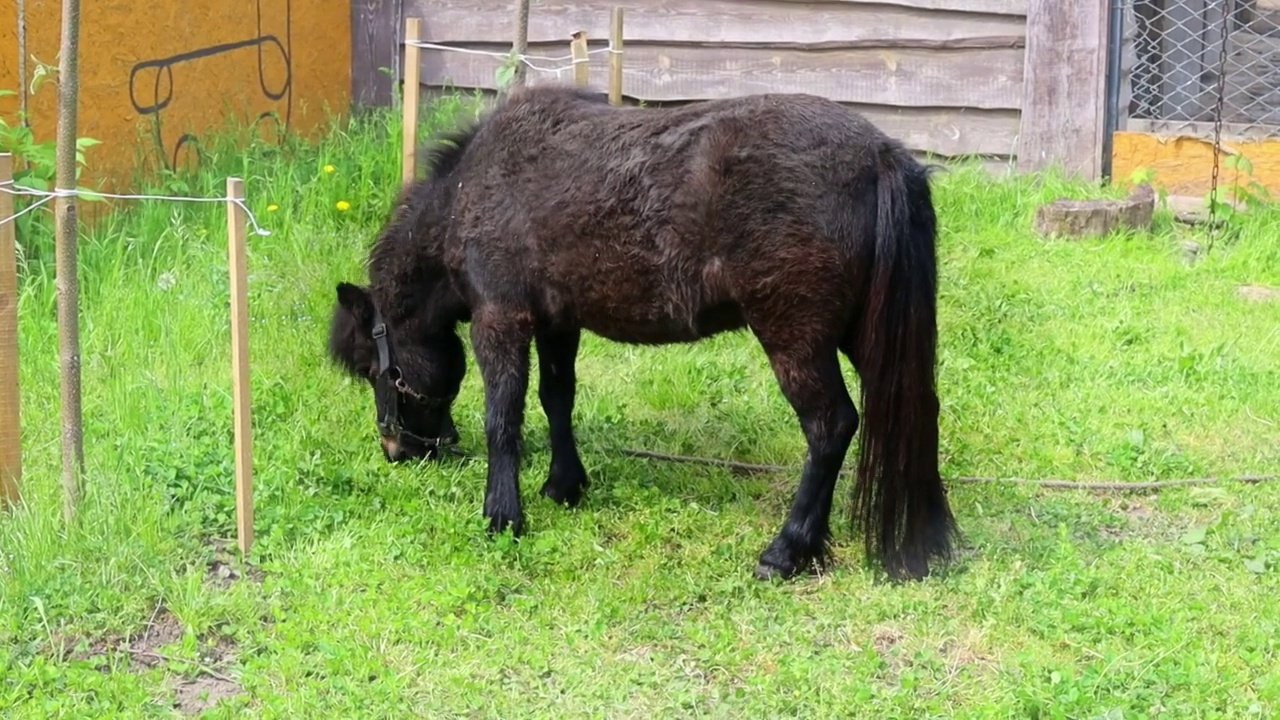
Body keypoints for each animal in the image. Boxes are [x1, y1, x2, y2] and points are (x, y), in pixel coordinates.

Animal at [325, 83, 957, 579]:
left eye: (375, 370)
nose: (398, 450)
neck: (475, 190)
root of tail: (880, 154)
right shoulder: (558, 323)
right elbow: (556, 400)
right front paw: (564, 485)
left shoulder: (501, 320)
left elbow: (503, 416)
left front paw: (502, 515)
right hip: (861, 335)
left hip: (795, 338)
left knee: (831, 427)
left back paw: (786, 551)